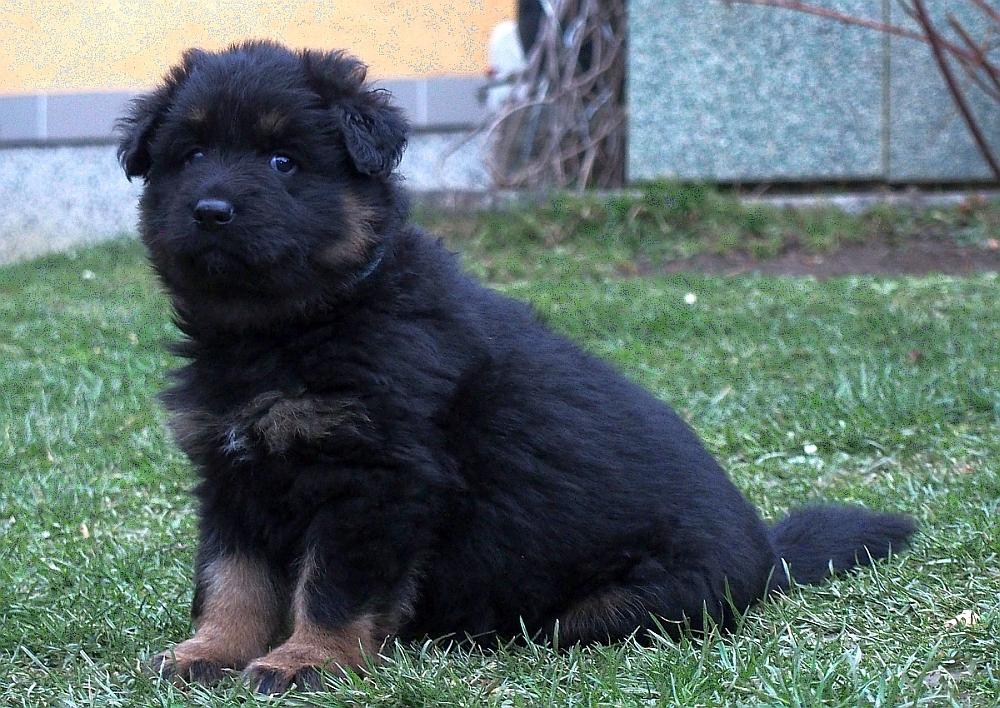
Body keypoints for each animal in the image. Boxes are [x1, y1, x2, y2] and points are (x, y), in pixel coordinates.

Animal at [117, 41, 916, 694]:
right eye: (190, 156)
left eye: (283, 161)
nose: (211, 210)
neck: (294, 324)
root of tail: (769, 555)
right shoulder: (231, 474)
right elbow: (232, 579)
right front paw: (211, 652)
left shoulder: (373, 482)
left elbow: (334, 589)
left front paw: (307, 660)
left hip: (620, 603)